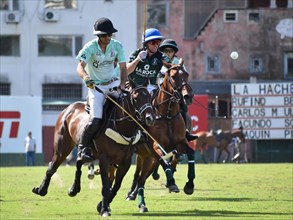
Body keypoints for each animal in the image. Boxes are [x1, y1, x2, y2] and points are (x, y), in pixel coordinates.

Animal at [32, 86, 155, 217]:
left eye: (150, 96)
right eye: (135, 98)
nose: (150, 118)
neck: (121, 126)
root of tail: (68, 108)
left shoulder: (125, 162)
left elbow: (116, 186)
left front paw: (102, 205)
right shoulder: (104, 158)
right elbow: (106, 186)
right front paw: (105, 209)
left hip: (87, 150)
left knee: (79, 161)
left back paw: (74, 189)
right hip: (62, 147)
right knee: (52, 166)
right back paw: (41, 189)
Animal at [124, 59, 195, 212]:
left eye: (186, 75)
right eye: (173, 76)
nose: (188, 96)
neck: (167, 115)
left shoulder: (180, 143)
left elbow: (191, 153)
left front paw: (189, 185)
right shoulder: (156, 145)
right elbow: (164, 161)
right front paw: (172, 183)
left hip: (147, 155)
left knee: (143, 176)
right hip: (143, 153)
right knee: (138, 174)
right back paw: (132, 193)